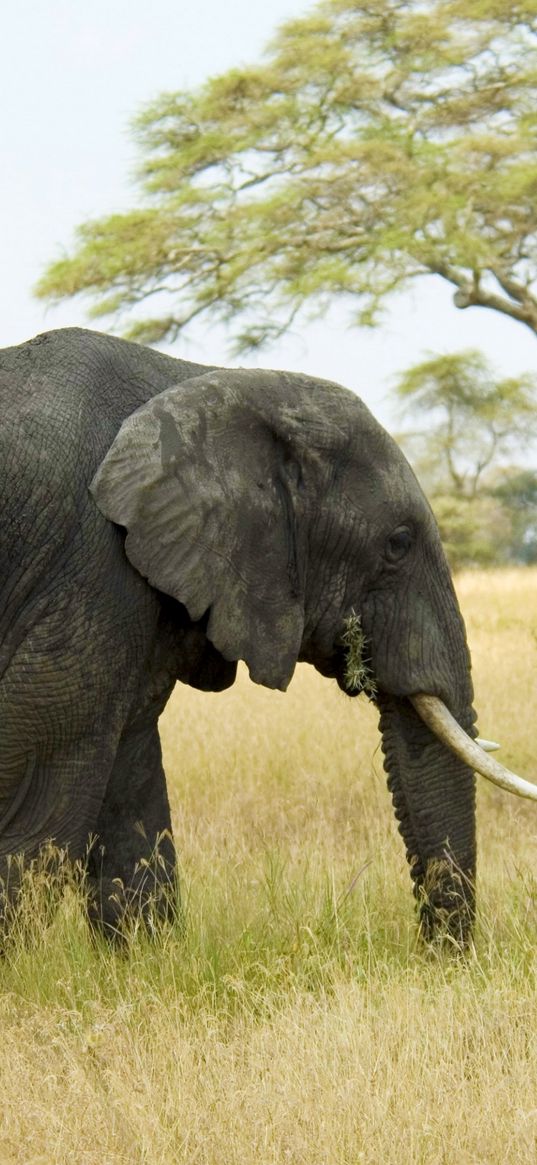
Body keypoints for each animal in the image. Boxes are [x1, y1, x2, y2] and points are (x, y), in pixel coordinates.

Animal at [0, 323, 531, 941]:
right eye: (397, 544)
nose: (438, 956)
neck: (205, 381)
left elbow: (131, 794)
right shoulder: (92, 567)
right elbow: (40, 812)